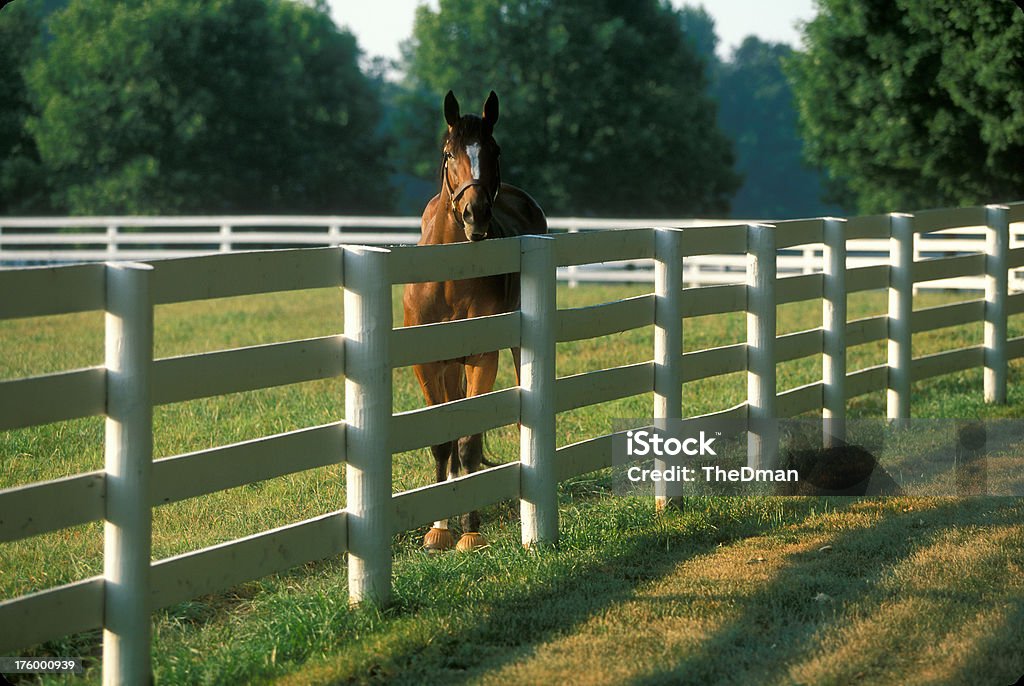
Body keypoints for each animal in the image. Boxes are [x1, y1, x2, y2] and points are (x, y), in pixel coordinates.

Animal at [399, 91, 548, 552]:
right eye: (449, 153)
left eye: (494, 150)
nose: (475, 214)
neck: (450, 278)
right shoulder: (427, 364)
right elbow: (443, 441)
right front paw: (438, 530)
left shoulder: (483, 357)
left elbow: (468, 442)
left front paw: (470, 530)